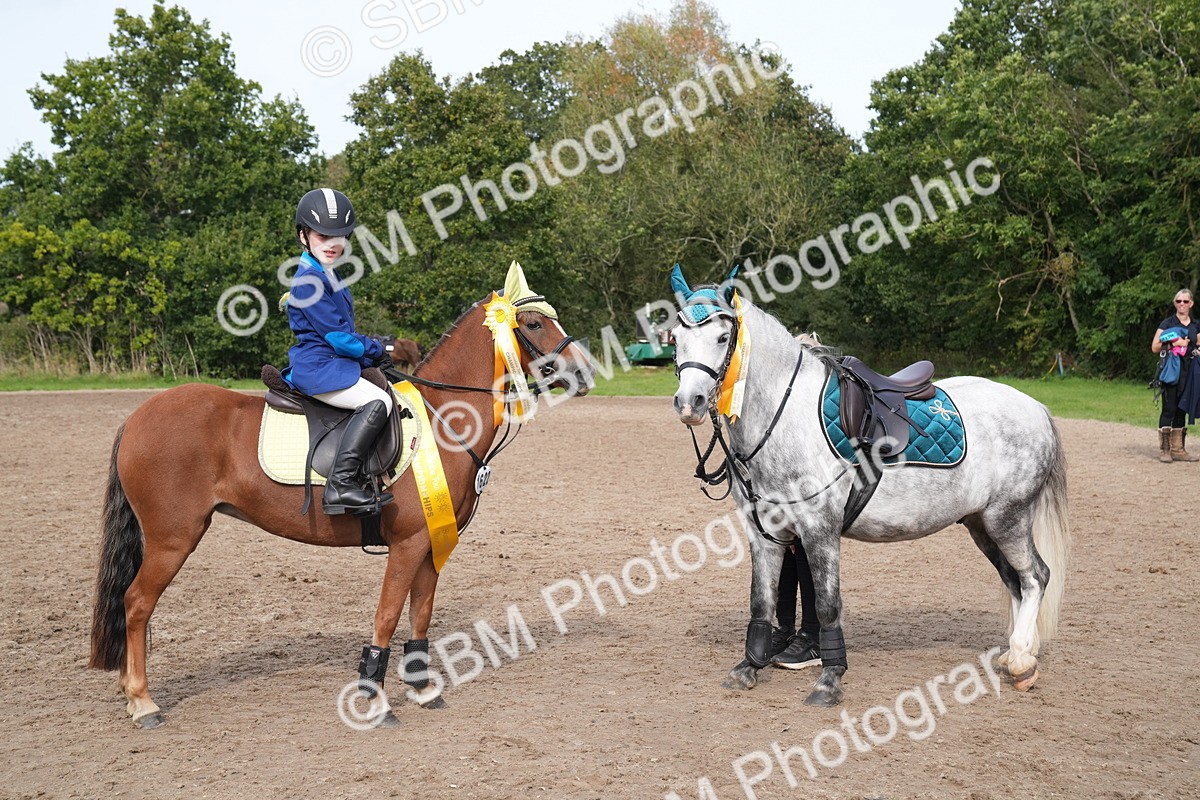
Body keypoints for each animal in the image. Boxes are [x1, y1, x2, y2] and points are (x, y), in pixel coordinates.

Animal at [89, 264, 595, 728]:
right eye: (533, 324)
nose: (586, 370)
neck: (441, 418)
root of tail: (138, 416)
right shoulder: (410, 542)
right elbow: (387, 616)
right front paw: (375, 699)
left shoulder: (433, 541)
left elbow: (421, 615)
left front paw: (423, 688)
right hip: (173, 538)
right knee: (137, 604)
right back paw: (143, 703)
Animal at [669, 270, 1070, 707]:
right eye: (675, 337)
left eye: (723, 337)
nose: (689, 402)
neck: (784, 415)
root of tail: (1037, 408)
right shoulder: (766, 534)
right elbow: (762, 602)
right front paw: (748, 667)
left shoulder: (819, 530)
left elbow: (827, 605)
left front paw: (829, 680)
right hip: (981, 525)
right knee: (1015, 581)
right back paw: (1018, 651)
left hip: (1007, 519)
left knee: (1035, 576)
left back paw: (1022, 661)